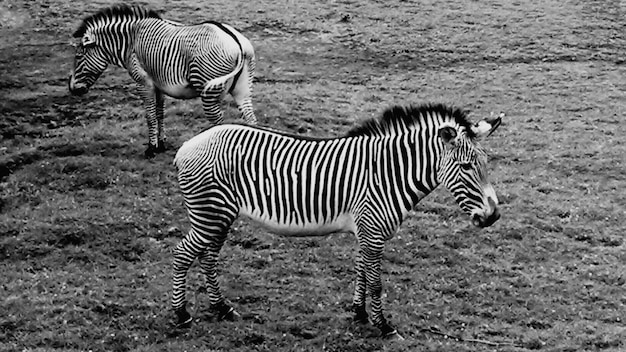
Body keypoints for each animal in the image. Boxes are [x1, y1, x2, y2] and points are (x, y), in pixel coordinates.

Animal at [70, 4, 258, 157]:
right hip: (243, 91)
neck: (131, 40)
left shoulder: (143, 83)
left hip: (209, 92)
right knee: (251, 119)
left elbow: (150, 115)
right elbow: (160, 113)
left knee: (219, 123)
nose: (72, 89)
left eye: (78, 57)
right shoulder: (159, 84)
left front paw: (151, 148)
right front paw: (161, 144)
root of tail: (237, 43)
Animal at [171, 103, 502, 340]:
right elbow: (376, 282)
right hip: (209, 214)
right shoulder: (373, 230)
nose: (493, 216)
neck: (388, 172)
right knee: (182, 254)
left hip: (219, 215)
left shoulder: (365, 230)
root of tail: (188, 144)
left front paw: (359, 314)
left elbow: (361, 272)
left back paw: (222, 308)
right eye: (466, 166)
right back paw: (181, 314)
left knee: (208, 258)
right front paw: (383, 325)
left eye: (486, 164)